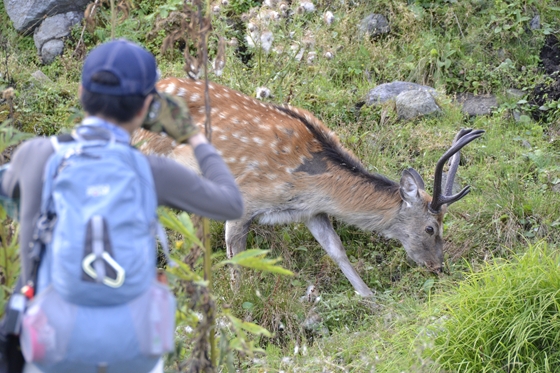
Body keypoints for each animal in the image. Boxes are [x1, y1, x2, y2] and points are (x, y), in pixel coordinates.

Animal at [132, 77, 486, 296]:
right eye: (430, 228)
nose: (438, 266)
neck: (311, 182)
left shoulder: (311, 211)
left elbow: (336, 249)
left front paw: (368, 296)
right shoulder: (244, 200)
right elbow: (237, 259)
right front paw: (235, 305)